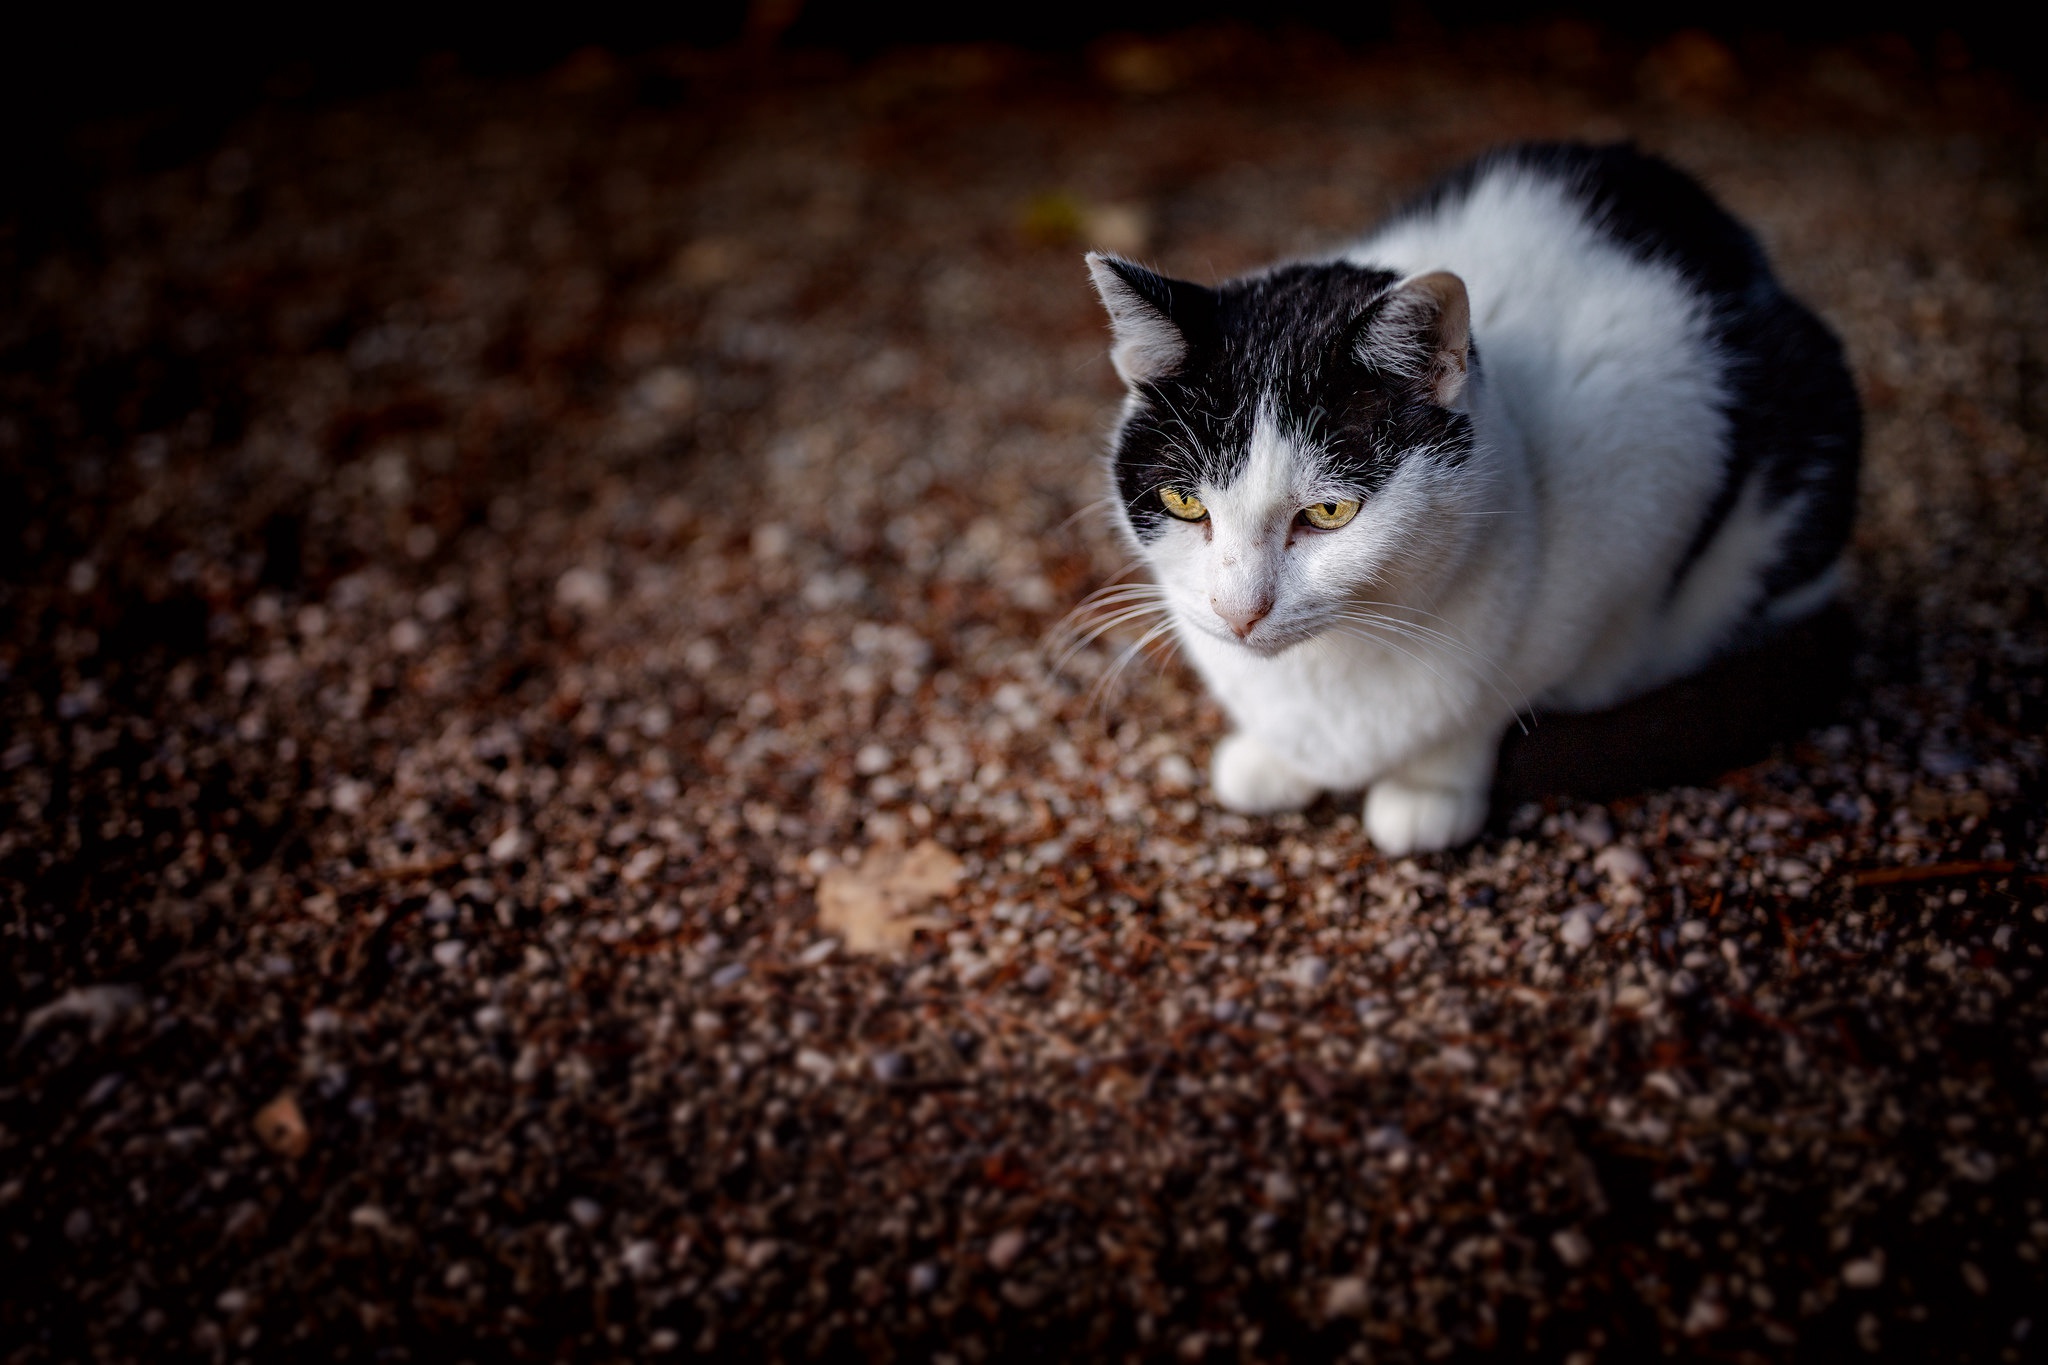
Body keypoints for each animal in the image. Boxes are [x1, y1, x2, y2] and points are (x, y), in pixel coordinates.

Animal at [1089, 141, 1859, 855]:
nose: (1238, 612)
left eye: (1330, 511)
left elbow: (1496, 696)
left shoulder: (1656, 478)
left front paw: (1430, 784)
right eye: (1186, 503)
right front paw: (1275, 759)